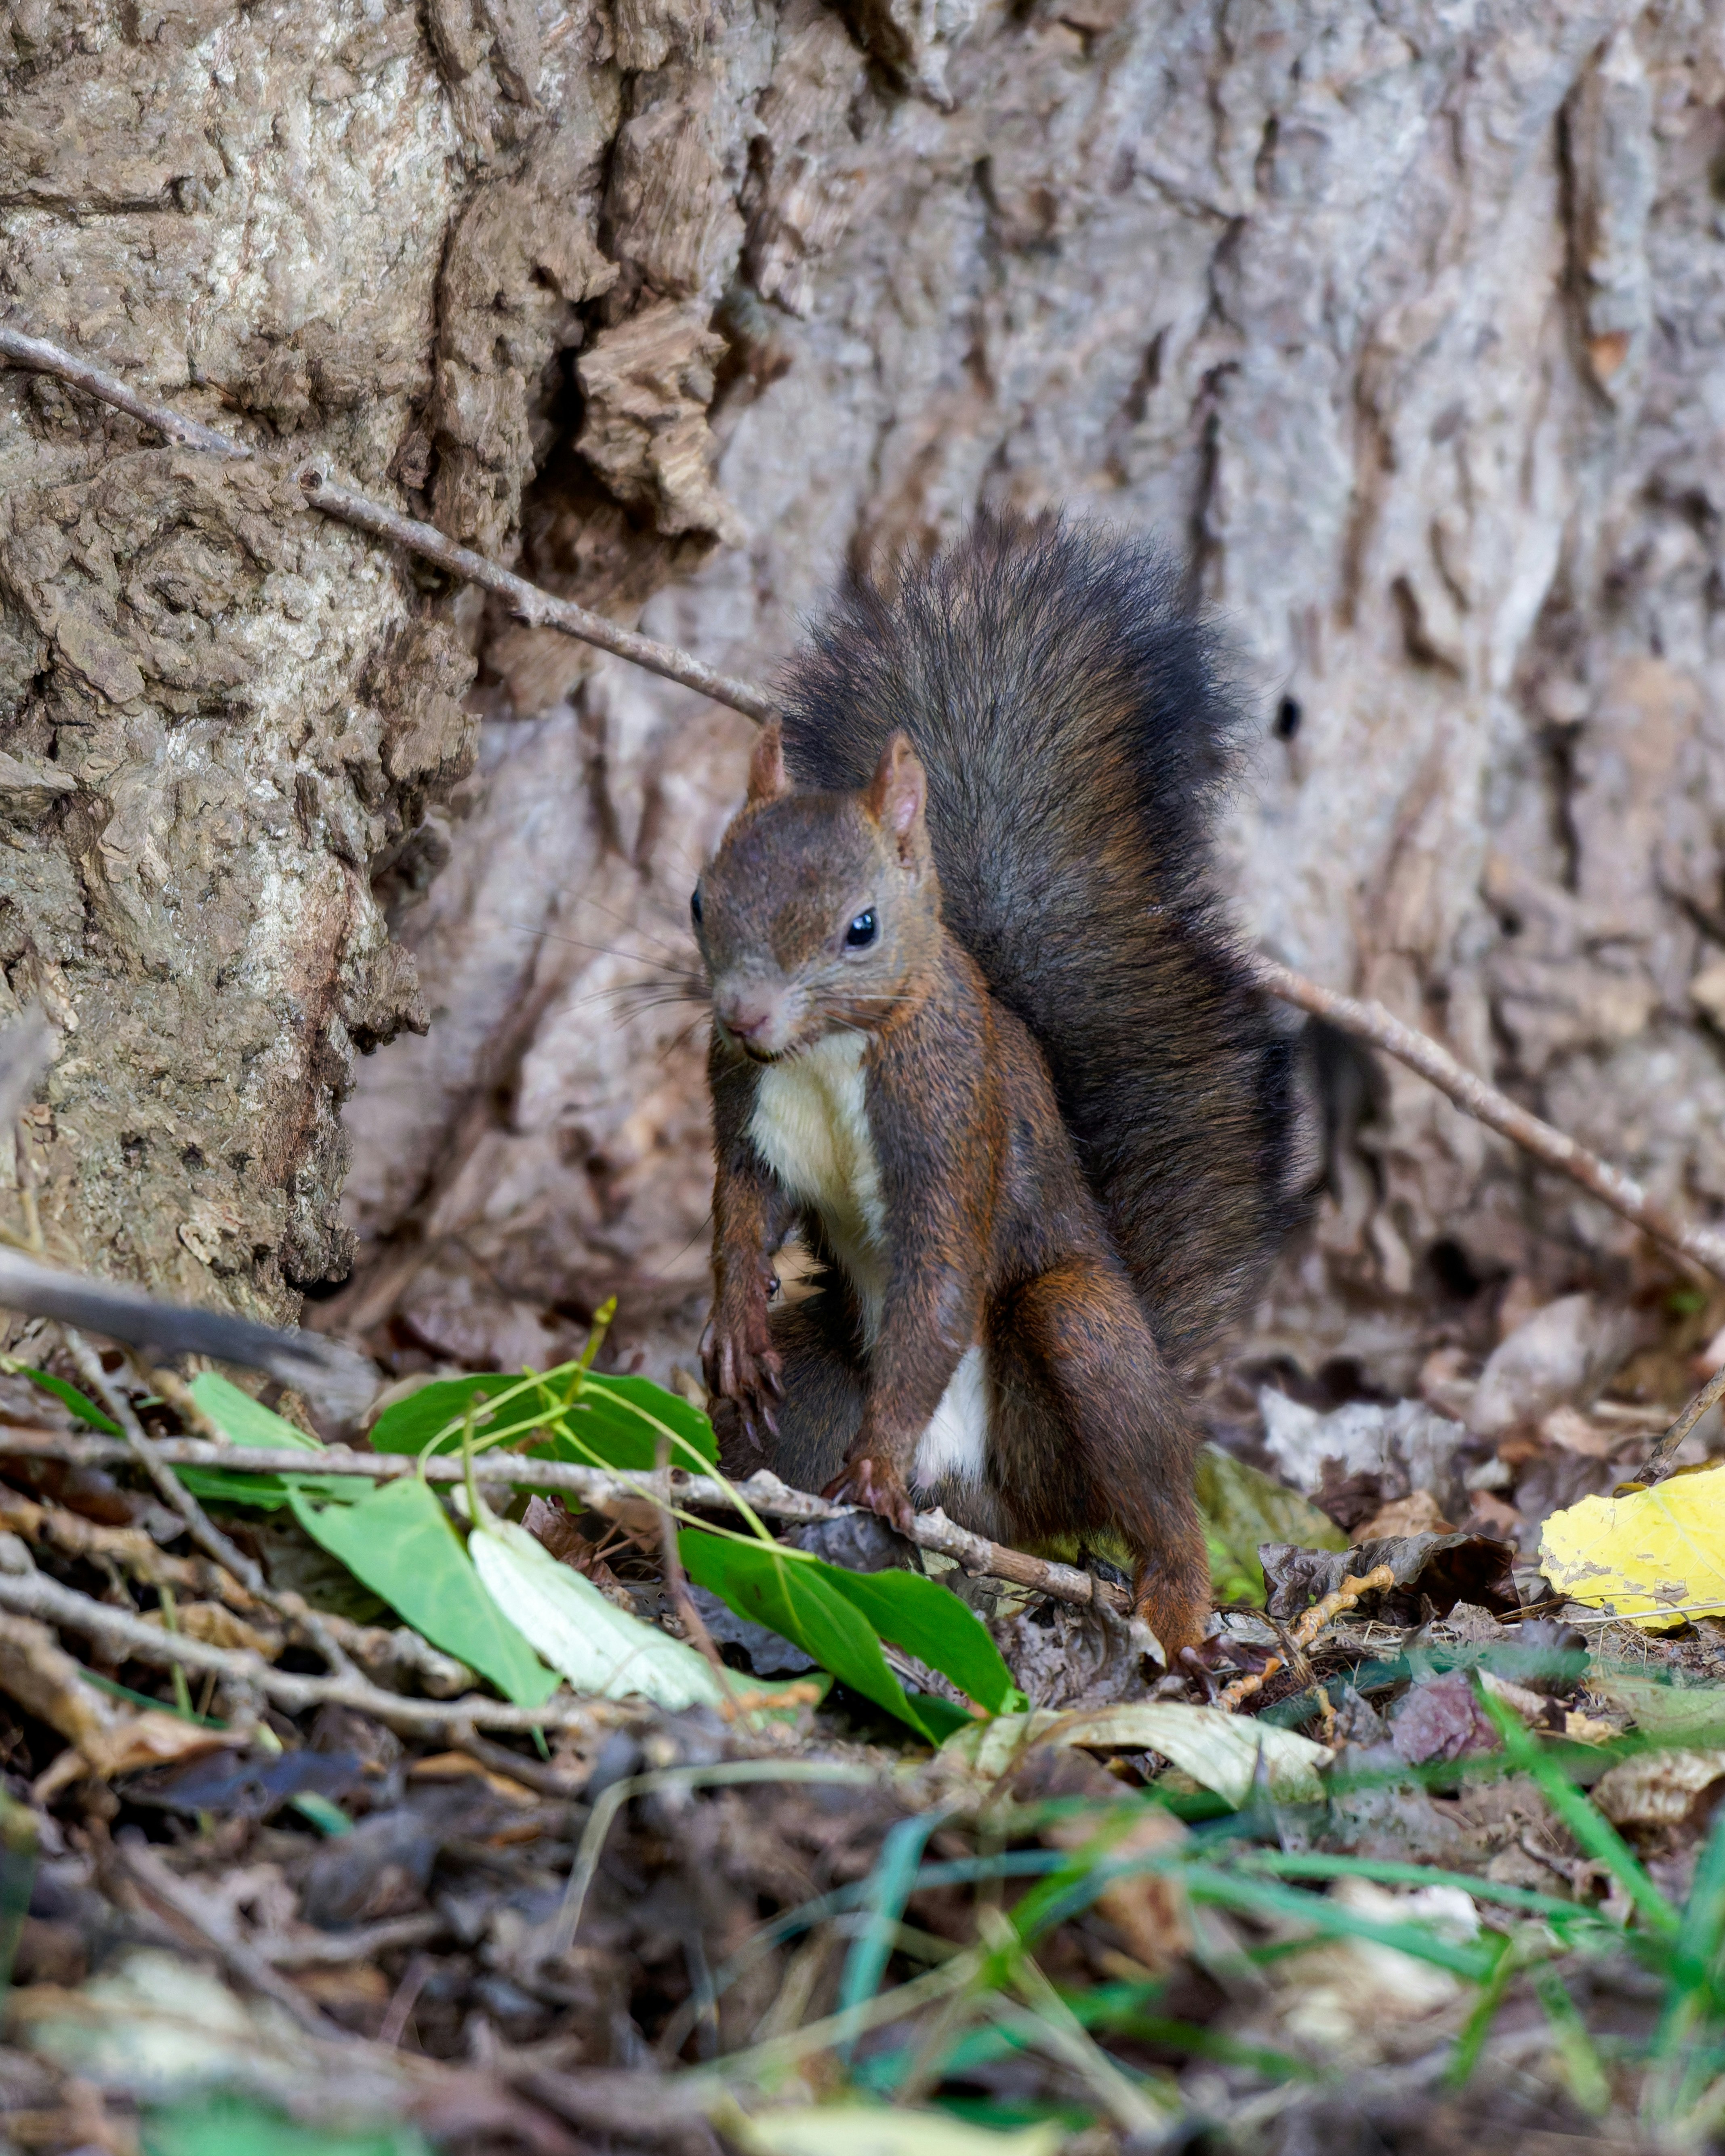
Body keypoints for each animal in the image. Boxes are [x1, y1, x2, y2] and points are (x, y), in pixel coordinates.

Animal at [691, 512, 1300, 1655]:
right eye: (699, 898)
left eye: (861, 926)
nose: (745, 1016)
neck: (825, 1055)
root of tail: (988, 1501)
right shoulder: (742, 1104)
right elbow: (742, 1206)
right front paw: (735, 1316)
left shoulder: (950, 1115)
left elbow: (938, 1275)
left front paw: (878, 1454)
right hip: (823, 1381)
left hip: (1074, 1357)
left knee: (1147, 1476)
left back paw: (1172, 1593)